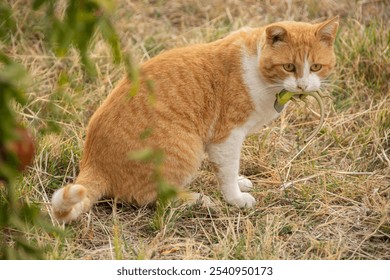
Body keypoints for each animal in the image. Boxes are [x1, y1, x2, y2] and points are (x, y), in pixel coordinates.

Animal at [51, 17, 338, 223]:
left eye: (315, 67)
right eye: (289, 67)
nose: (302, 86)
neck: (259, 71)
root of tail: (92, 162)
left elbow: (228, 171)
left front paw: (239, 181)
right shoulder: (227, 137)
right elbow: (228, 171)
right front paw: (236, 198)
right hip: (186, 147)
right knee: (150, 196)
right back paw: (199, 200)